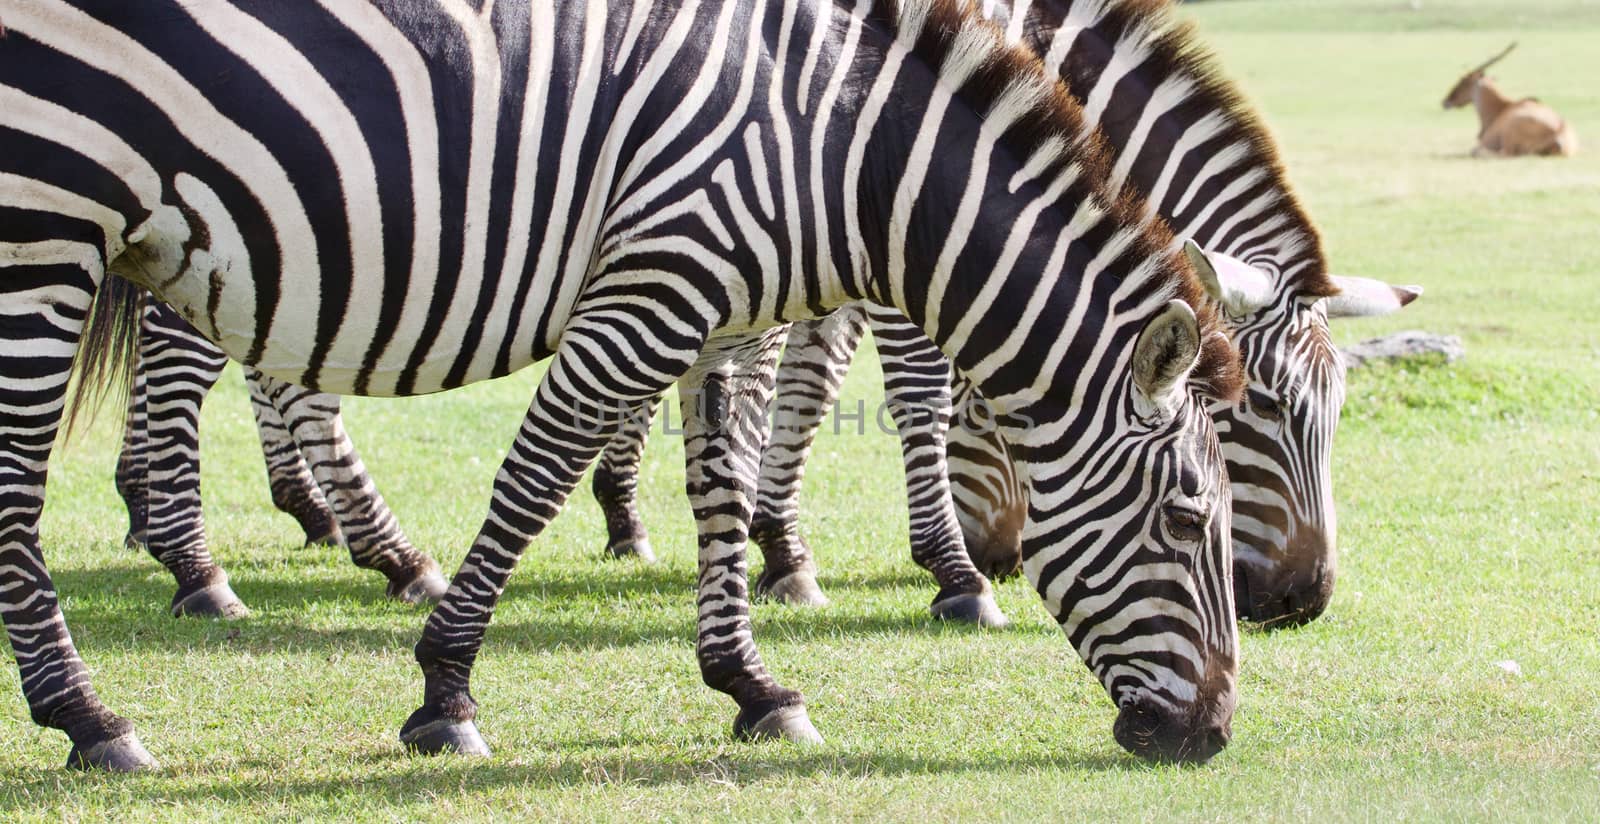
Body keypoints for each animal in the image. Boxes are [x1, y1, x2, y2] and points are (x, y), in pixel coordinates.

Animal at [588, 0, 1414, 630]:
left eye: (1337, 412)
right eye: (1265, 407)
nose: (1302, 603)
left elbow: (807, 387)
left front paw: (782, 551)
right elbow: (908, 395)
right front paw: (954, 575)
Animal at [1446, 43, 1580, 158]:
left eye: (1464, 81)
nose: (1446, 101)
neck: (1502, 107)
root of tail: (1559, 133)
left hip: (1510, 134)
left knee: (1501, 153)